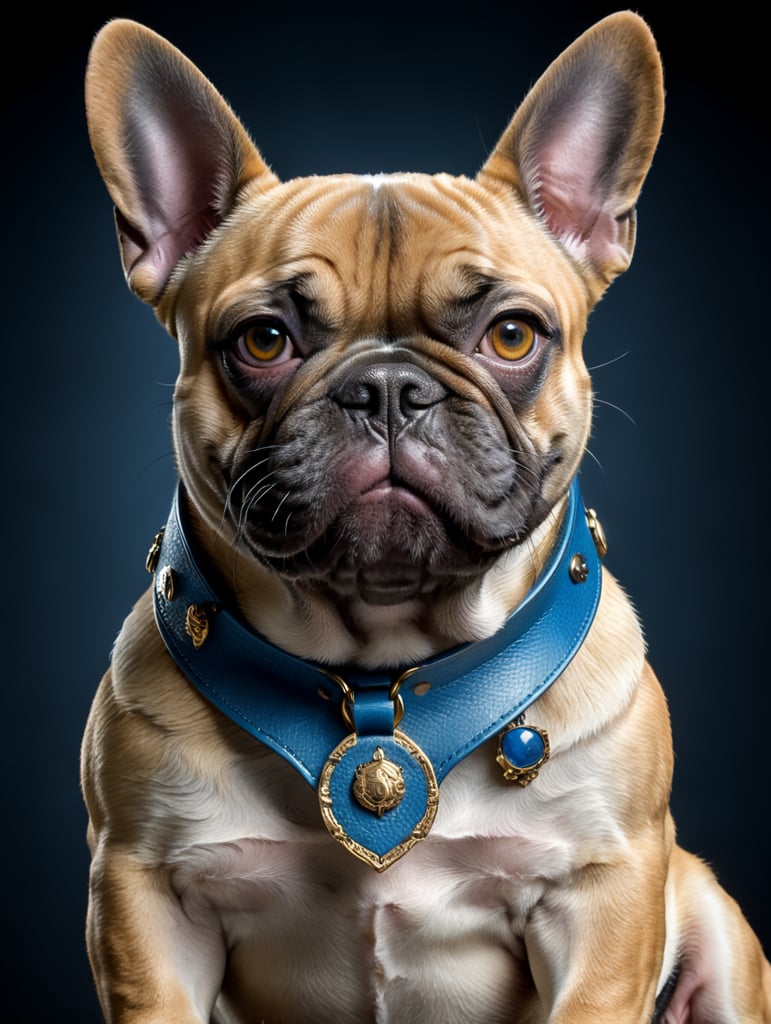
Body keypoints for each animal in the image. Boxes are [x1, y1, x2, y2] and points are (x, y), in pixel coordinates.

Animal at [82, 9, 769, 1024]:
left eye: (512, 335)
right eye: (263, 340)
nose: (387, 388)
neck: (381, 677)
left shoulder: (603, 895)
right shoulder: (145, 898)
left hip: (712, 920)